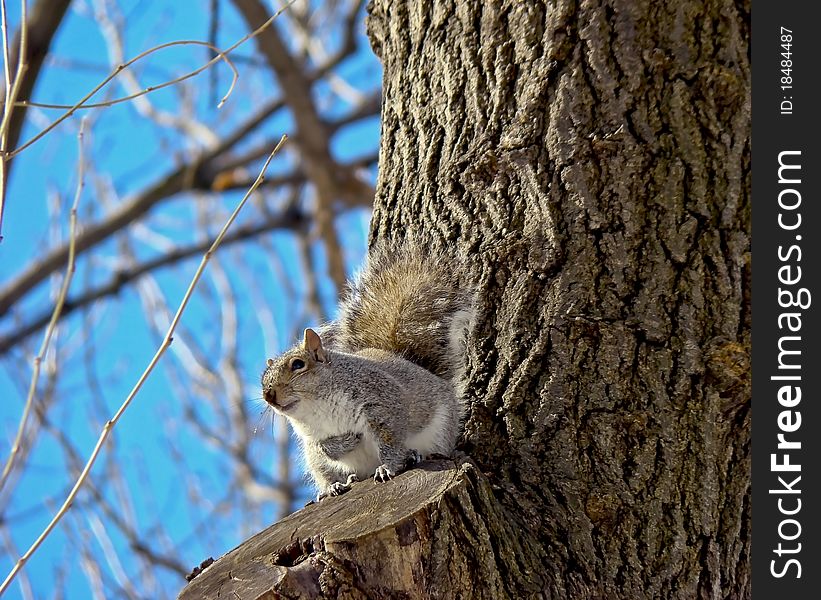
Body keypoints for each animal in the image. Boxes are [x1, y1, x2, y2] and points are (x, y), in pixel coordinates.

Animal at [262, 246, 474, 500]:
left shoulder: (383, 402)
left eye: (297, 365)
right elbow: (323, 449)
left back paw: (415, 455)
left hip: (440, 429)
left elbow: (391, 442)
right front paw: (345, 443)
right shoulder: (310, 440)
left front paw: (388, 468)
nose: (268, 396)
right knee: (325, 471)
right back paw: (336, 485)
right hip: (315, 462)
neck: (316, 405)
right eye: (263, 378)